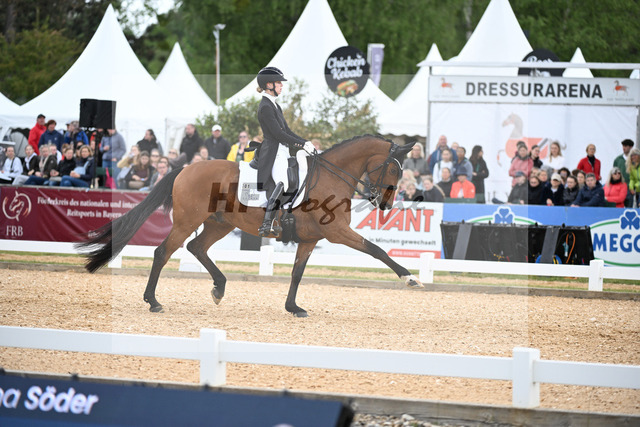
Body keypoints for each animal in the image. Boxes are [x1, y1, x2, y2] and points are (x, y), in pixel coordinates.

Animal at [75, 135, 423, 317]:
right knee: (163, 252)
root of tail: (185, 168)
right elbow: (377, 250)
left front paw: (293, 307)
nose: (385, 204)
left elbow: (297, 273)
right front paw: (410, 278)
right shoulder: (337, 232)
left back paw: (219, 287)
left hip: (219, 224)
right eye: (393, 169)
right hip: (188, 220)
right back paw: (153, 301)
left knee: (196, 247)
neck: (331, 175)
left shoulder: (310, 239)